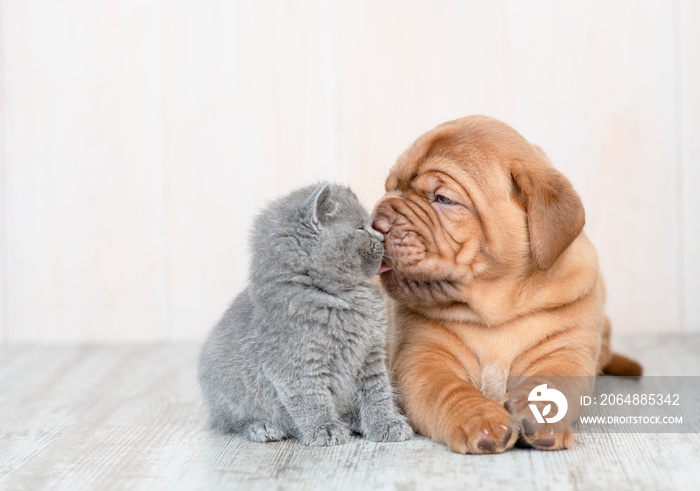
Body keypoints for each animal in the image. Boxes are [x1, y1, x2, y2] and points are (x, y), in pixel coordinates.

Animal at [197, 182, 412, 446]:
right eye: (361, 227)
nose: (382, 237)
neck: (341, 297)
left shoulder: (370, 354)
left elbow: (377, 391)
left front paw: (386, 423)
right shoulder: (296, 365)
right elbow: (310, 398)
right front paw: (325, 428)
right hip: (228, 393)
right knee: (231, 421)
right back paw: (262, 427)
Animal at [374, 114, 644, 454]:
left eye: (443, 199)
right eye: (390, 188)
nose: (375, 224)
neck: (494, 313)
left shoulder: (565, 352)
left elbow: (552, 383)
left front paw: (540, 413)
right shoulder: (423, 358)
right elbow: (449, 390)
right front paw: (480, 418)